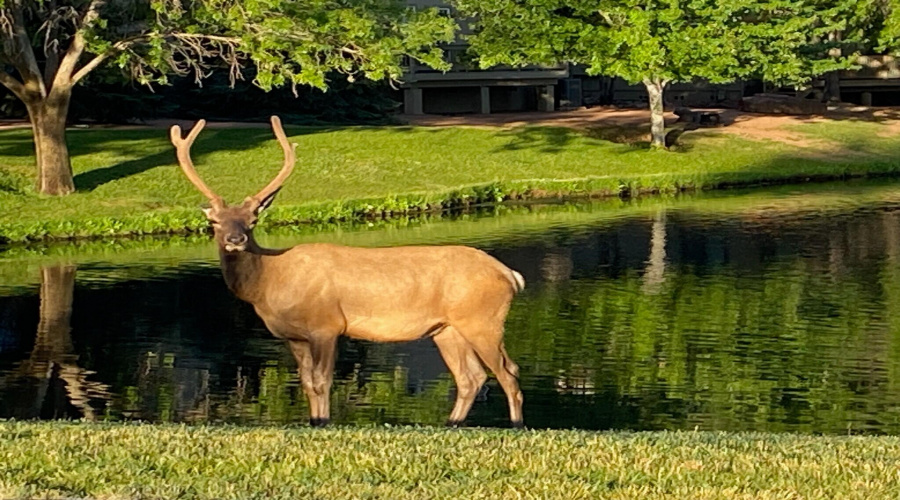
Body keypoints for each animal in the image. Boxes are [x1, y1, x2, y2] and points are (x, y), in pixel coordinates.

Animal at [169, 116, 528, 426]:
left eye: (253, 220)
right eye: (214, 222)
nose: (236, 239)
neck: (271, 282)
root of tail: (511, 275)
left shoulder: (327, 325)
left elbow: (322, 381)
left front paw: (324, 421)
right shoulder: (294, 336)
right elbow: (306, 382)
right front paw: (314, 422)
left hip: (483, 319)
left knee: (508, 371)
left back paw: (516, 425)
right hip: (446, 328)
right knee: (471, 377)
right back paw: (452, 424)